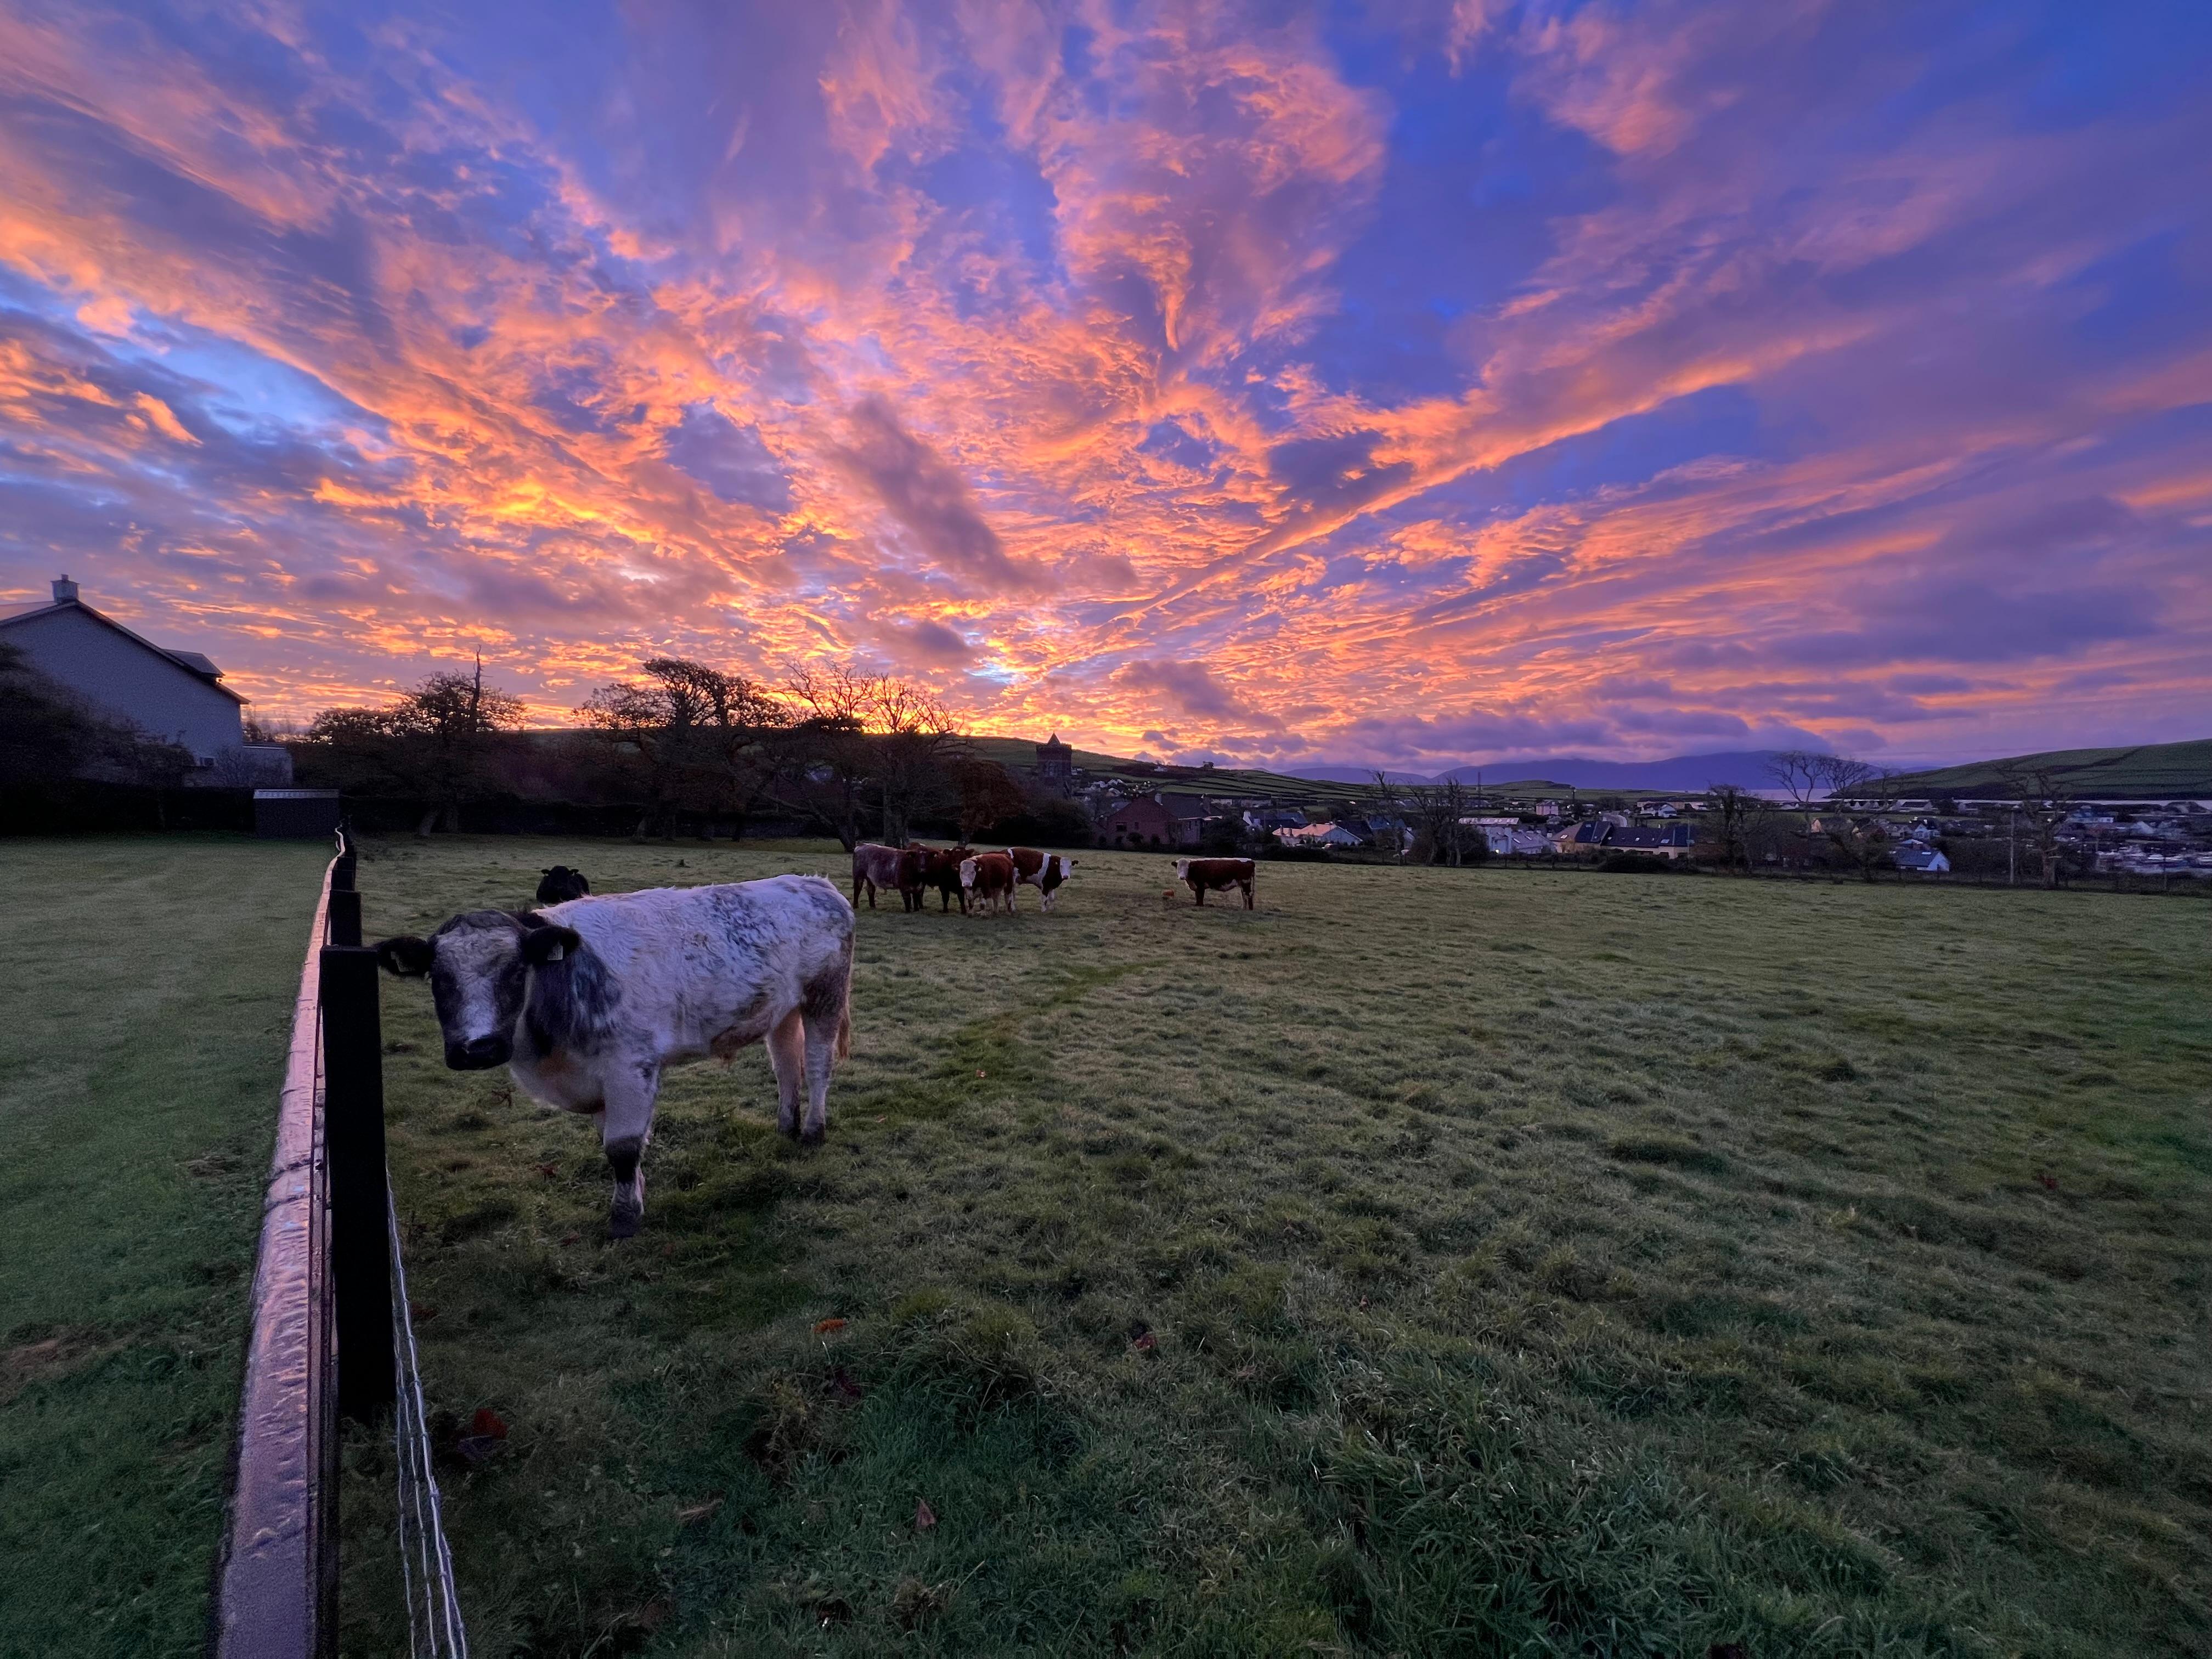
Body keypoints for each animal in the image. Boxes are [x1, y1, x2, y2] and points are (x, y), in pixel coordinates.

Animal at [376, 876, 858, 1238]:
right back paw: (786, 1126)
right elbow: (616, 1144)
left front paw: (624, 1218)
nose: (478, 1048)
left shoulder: (630, 1067)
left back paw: (812, 1130)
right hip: (782, 1010)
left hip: (826, 997)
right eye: (439, 979)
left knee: (817, 1066)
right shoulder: (598, 1081)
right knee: (786, 1066)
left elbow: (622, 1148)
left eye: (515, 972)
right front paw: (637, 1193)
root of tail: (816, 884)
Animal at [1004, 849, 1079, 916]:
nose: (1066, 876)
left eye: (1070, 866)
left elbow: (1052, 898)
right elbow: (1044, 899)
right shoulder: (1045, 886)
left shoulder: (1051, 886)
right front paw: (1044, 911)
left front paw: (1052, 910)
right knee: (1010, 895)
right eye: (1061, 865)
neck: (1053, 867)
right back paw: (1013, 909)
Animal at [1167, 858, 1256, 911]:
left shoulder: (1200, 885)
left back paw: (1250, 909)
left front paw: (1200, 905)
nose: (1182, 877)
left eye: (1187, 868)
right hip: (1243, 885)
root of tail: (1250, 861)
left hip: (1246, 883)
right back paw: (1243, 908)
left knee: (1248, 895)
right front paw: (1197, 904)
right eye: (1178, 868)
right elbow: (1197, 896)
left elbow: (1200, 896)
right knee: (1244, 896)